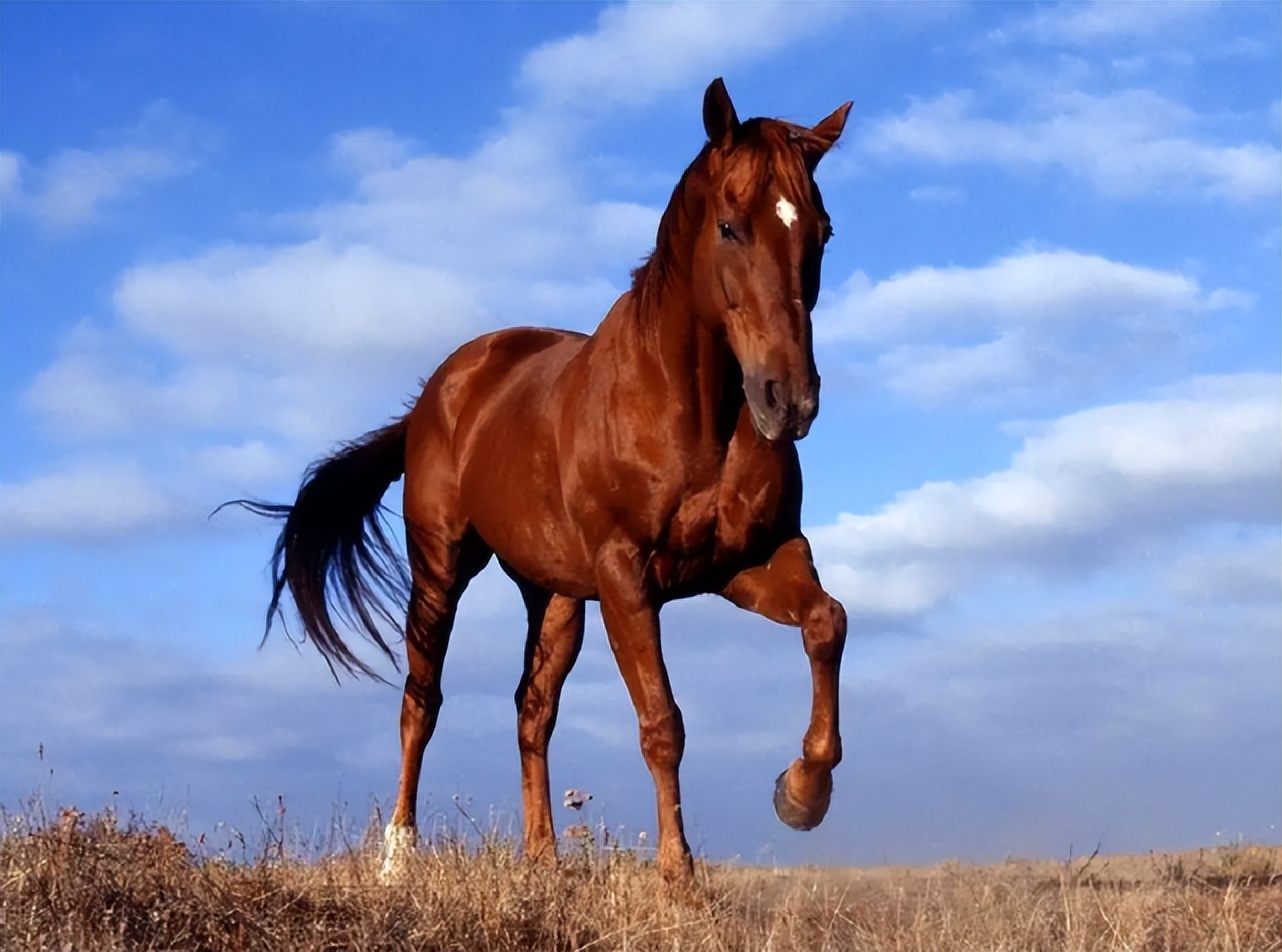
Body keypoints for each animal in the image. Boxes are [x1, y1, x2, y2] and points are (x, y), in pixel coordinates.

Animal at [244, 76, 856, 886]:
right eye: (729, 227)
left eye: (821, 231)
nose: (789, 400)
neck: (693, 413)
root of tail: (437, 394)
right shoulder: (628, 575)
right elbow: (662, 722)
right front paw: (679, 878)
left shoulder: (749, 561)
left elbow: (827, 622)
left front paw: (802, 793)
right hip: (441, 569)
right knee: (422, 701)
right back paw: (399, 857)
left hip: (556, 595)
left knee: (531, 708)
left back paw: (542, 859)